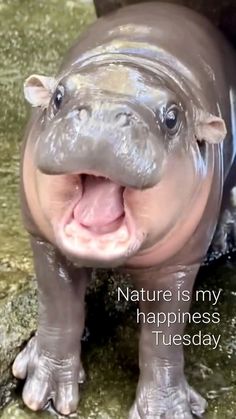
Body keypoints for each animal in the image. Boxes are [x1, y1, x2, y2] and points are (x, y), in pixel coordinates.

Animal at [12, 3, 236, 419]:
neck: (134, 61)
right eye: (58, 97)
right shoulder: (44, 241)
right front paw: (43, 394)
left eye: (172, 118)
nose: (104, 116)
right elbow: (58, 308)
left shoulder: (179, 264)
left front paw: (167, 411)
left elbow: (163, 336)